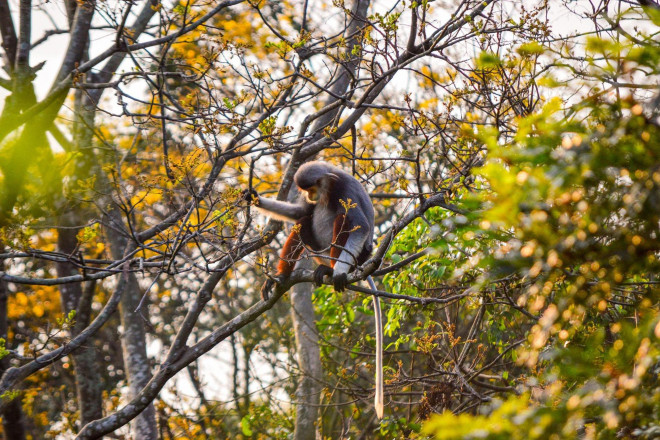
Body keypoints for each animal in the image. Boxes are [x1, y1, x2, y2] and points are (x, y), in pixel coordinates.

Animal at [246, 162, 382, 420]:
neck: (329, 189)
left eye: (312, 188)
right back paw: (281, 277)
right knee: (303, 218)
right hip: (318, 249)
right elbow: (298, 212)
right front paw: (255, 199)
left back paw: (331, 270)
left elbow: (360, 227)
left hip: (358, 254)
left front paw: (339, 273)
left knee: (343, 218)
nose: (310, 196)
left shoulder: (346, 191)